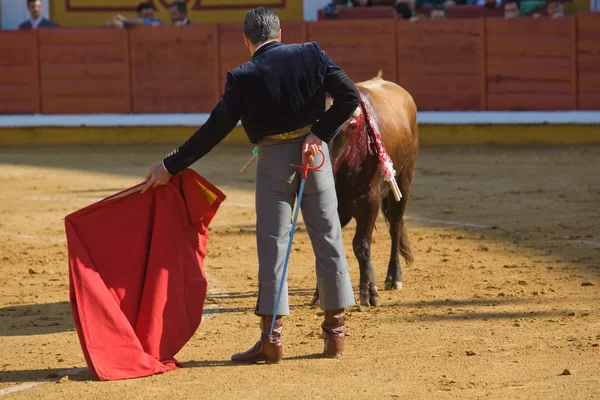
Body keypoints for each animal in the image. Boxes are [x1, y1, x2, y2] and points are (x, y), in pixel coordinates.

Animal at [314, 72, 418, 306]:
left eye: (350, 124)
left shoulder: (369, 202)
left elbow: (361, 245)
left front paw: (369, 294)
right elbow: (326, 247)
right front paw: (320, 294)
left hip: (404, 181)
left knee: (395, 226)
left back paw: (394, 278)